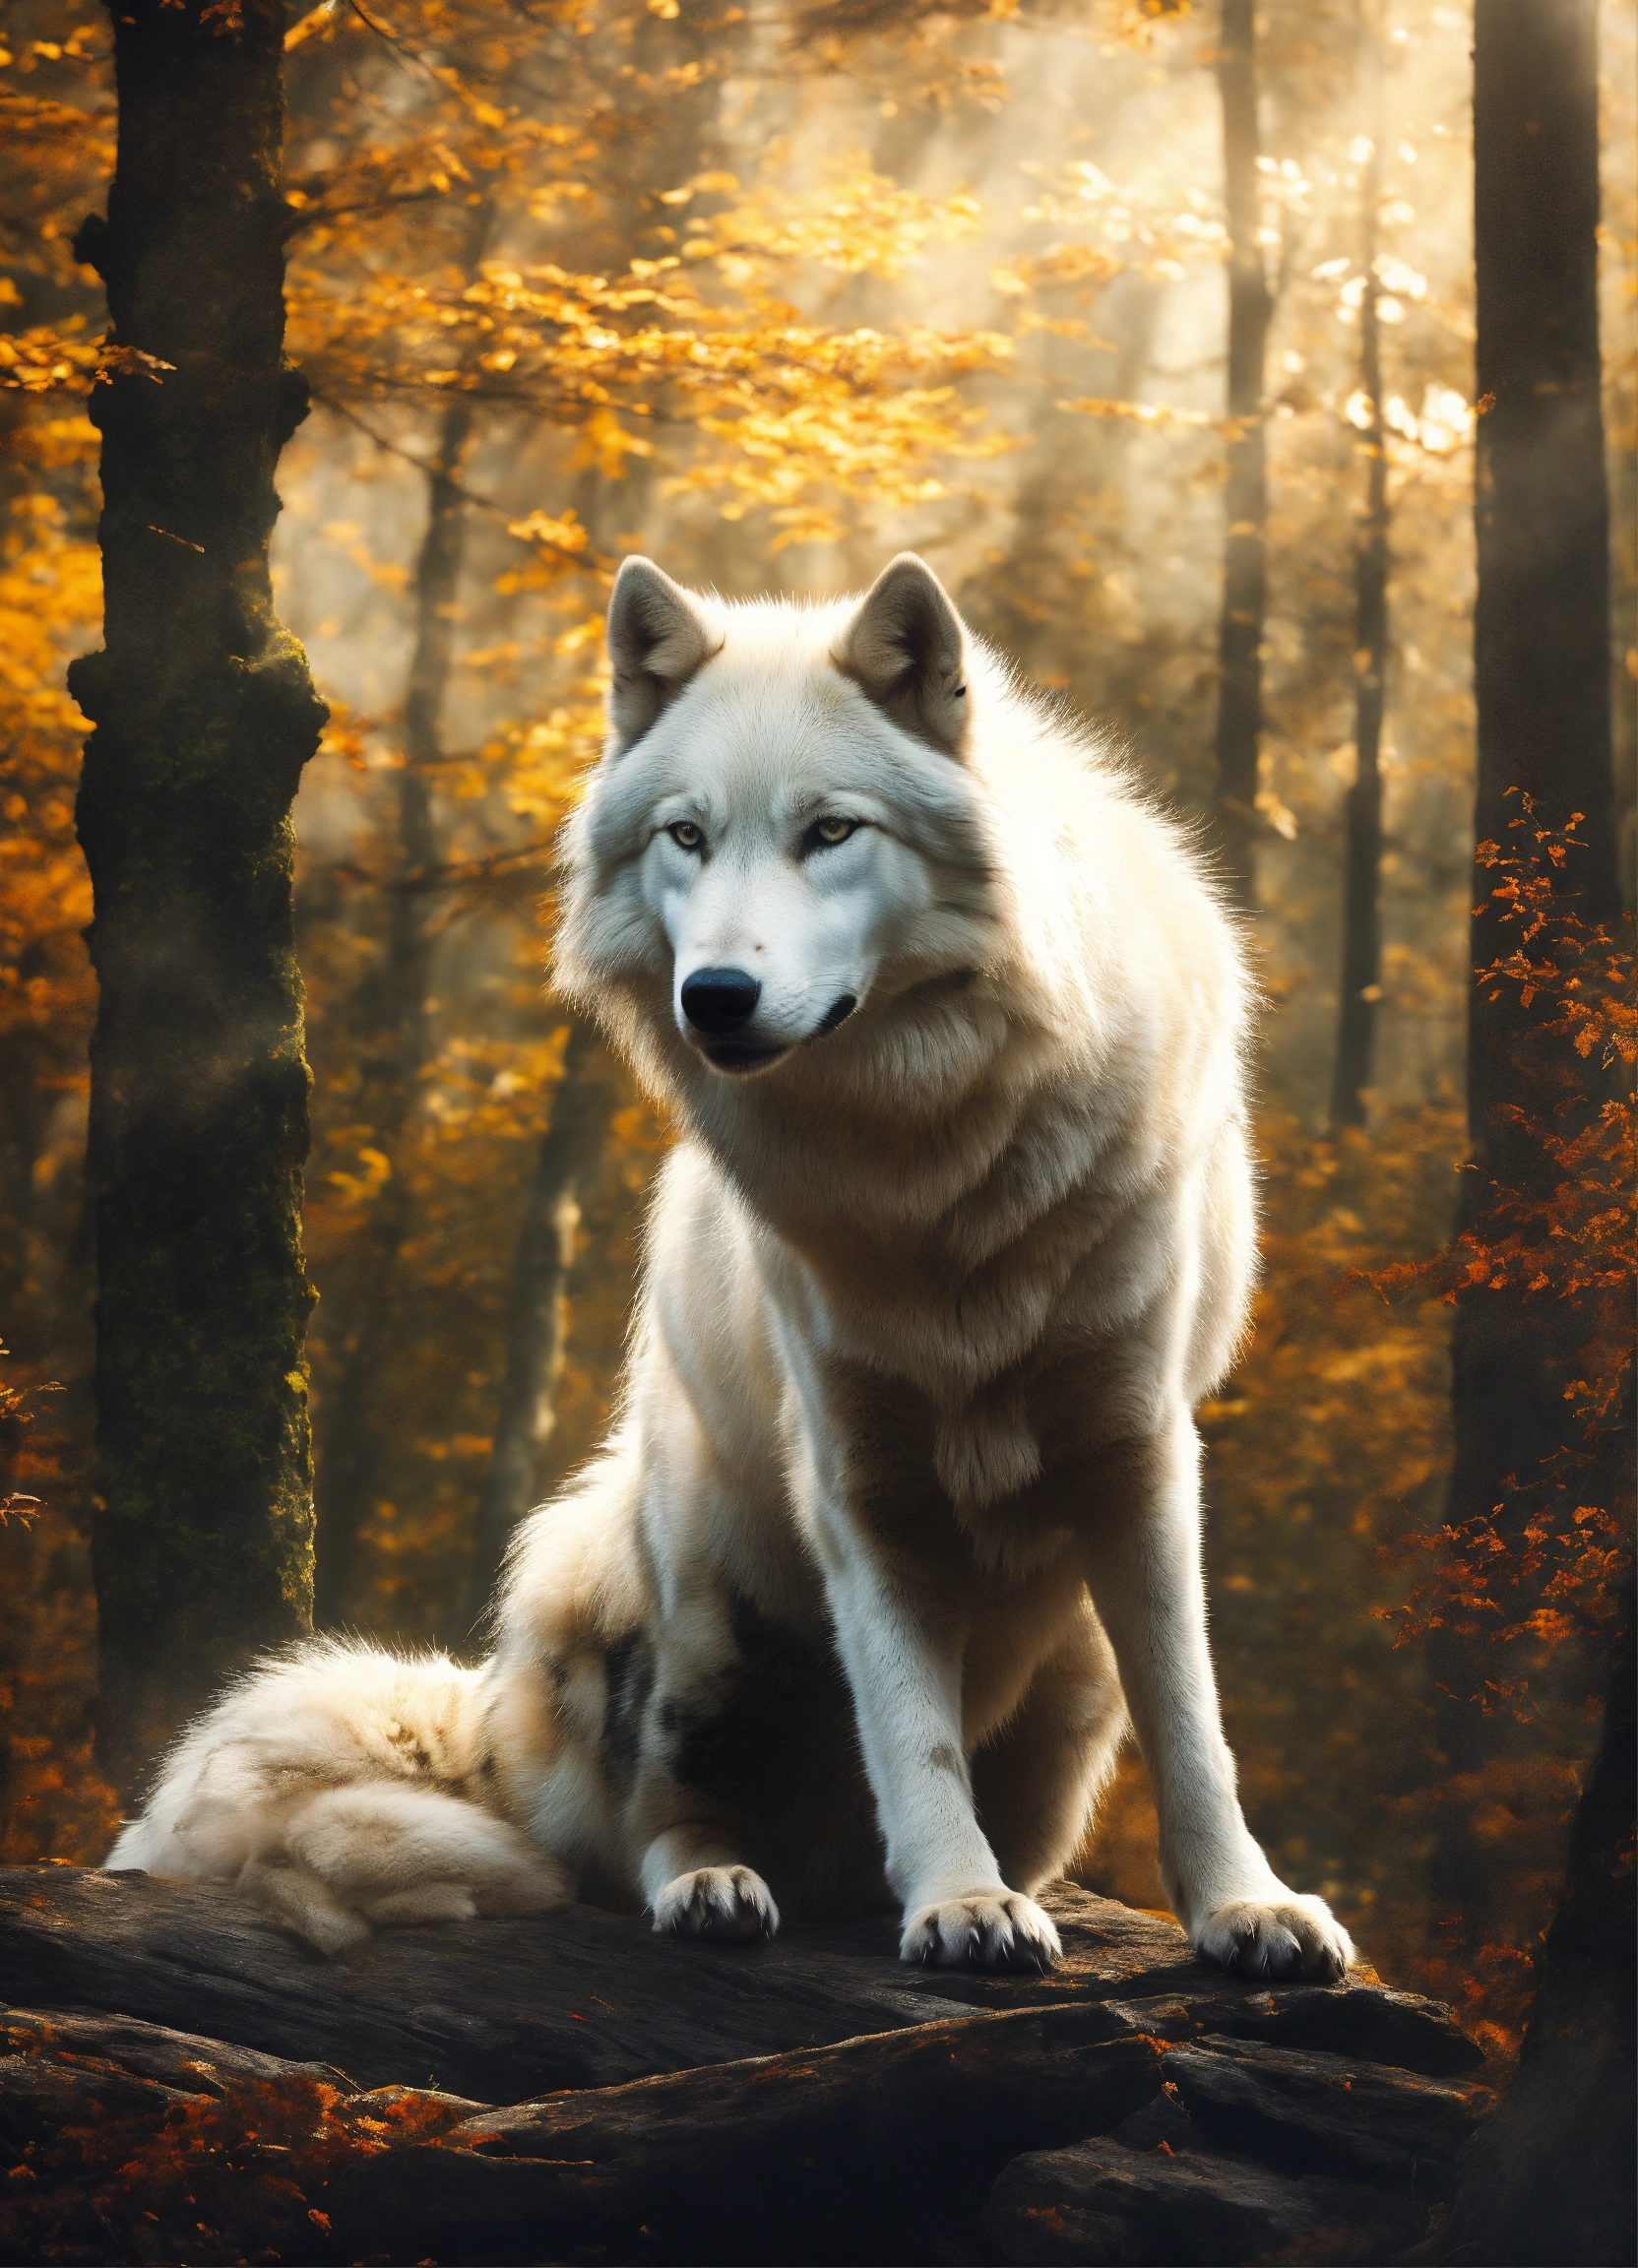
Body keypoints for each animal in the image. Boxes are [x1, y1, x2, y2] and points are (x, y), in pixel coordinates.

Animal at [110, 553, 1354, 1981]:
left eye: (831, 833)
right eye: (687, 838)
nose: (713, 995)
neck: (931, 1165)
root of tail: (483, 1725)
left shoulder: (1136, 1453)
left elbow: (1192, 1721)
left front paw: (1246, 1908)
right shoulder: (858, 1478)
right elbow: (910, 1727)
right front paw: (959, 1902)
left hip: (1063, 1680)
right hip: (686, 1599)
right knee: (645, 1836)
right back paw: (723, 1886)